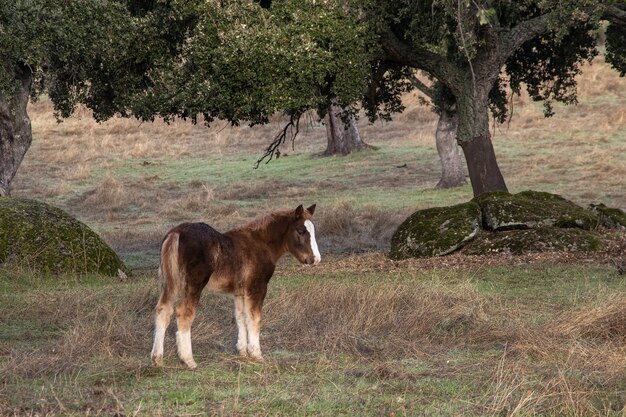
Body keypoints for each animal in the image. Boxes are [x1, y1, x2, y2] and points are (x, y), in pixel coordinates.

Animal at [150, 204, 316, 368]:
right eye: (300, 231)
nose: (314, 259)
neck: (261, 244)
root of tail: (176, 233)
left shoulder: (240, 292)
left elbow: (241, 317)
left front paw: (242, 351)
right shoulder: (257, 288)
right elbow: (254, 318)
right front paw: (257, 355)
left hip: (169, 282)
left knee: (163, 310)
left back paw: (157, 359)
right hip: (194, 284)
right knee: (184, 312)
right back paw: (188, 360)